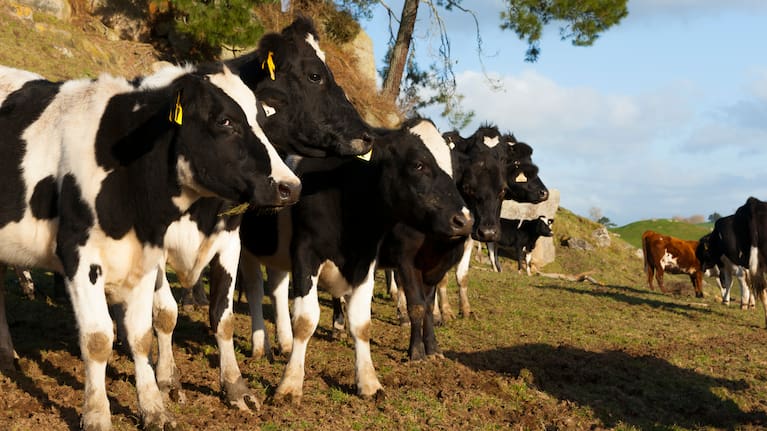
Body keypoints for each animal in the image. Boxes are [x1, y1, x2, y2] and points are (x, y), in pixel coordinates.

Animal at [0, 63, 300, 430]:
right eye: (225, 121)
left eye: (263, 120)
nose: (290, 186)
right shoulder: (79, 255)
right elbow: (98, 339)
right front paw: (97, 414)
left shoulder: (146, 257)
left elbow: (143, 334)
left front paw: (155, 408)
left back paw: (6, 355)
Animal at [235, 118, 472, 402]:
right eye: (418, 164)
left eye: (454, 170)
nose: (464, 220)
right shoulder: (306, 253)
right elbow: (305, 319)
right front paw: (290, 384)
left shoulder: (365, 260)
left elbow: (361, 323)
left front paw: (368, 382)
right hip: (247, 247)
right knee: (255, 290)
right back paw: (262, 346)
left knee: (278, 289)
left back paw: (285, 342)